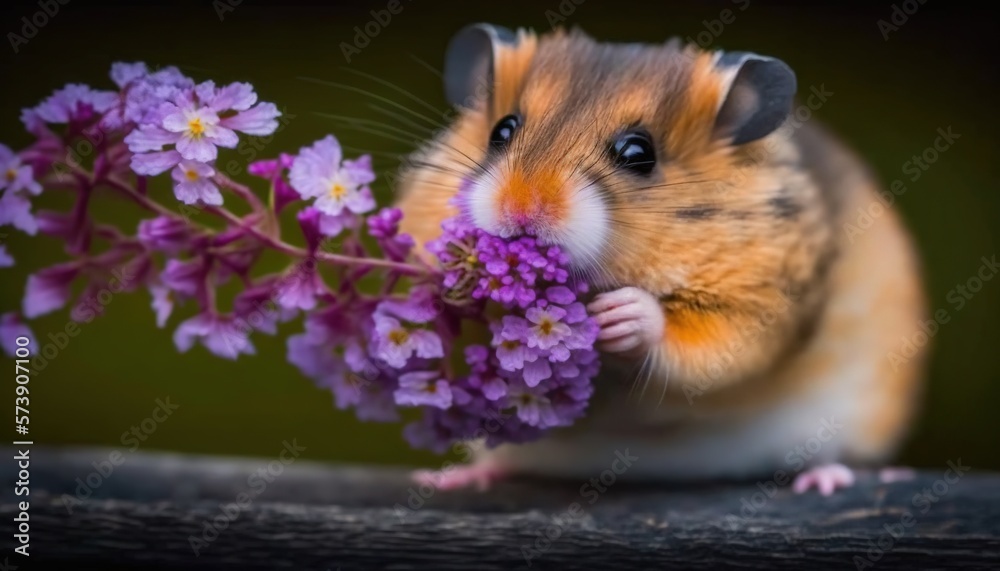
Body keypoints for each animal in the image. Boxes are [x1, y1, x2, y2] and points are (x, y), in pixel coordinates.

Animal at [394, 24, 924, 494]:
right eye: (502, 131)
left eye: (638, 153)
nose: (519, 212)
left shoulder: (758, 303)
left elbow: (701, 342)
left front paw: (620, 314)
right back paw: (447, 479)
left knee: (833, 457)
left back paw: (829, 481)